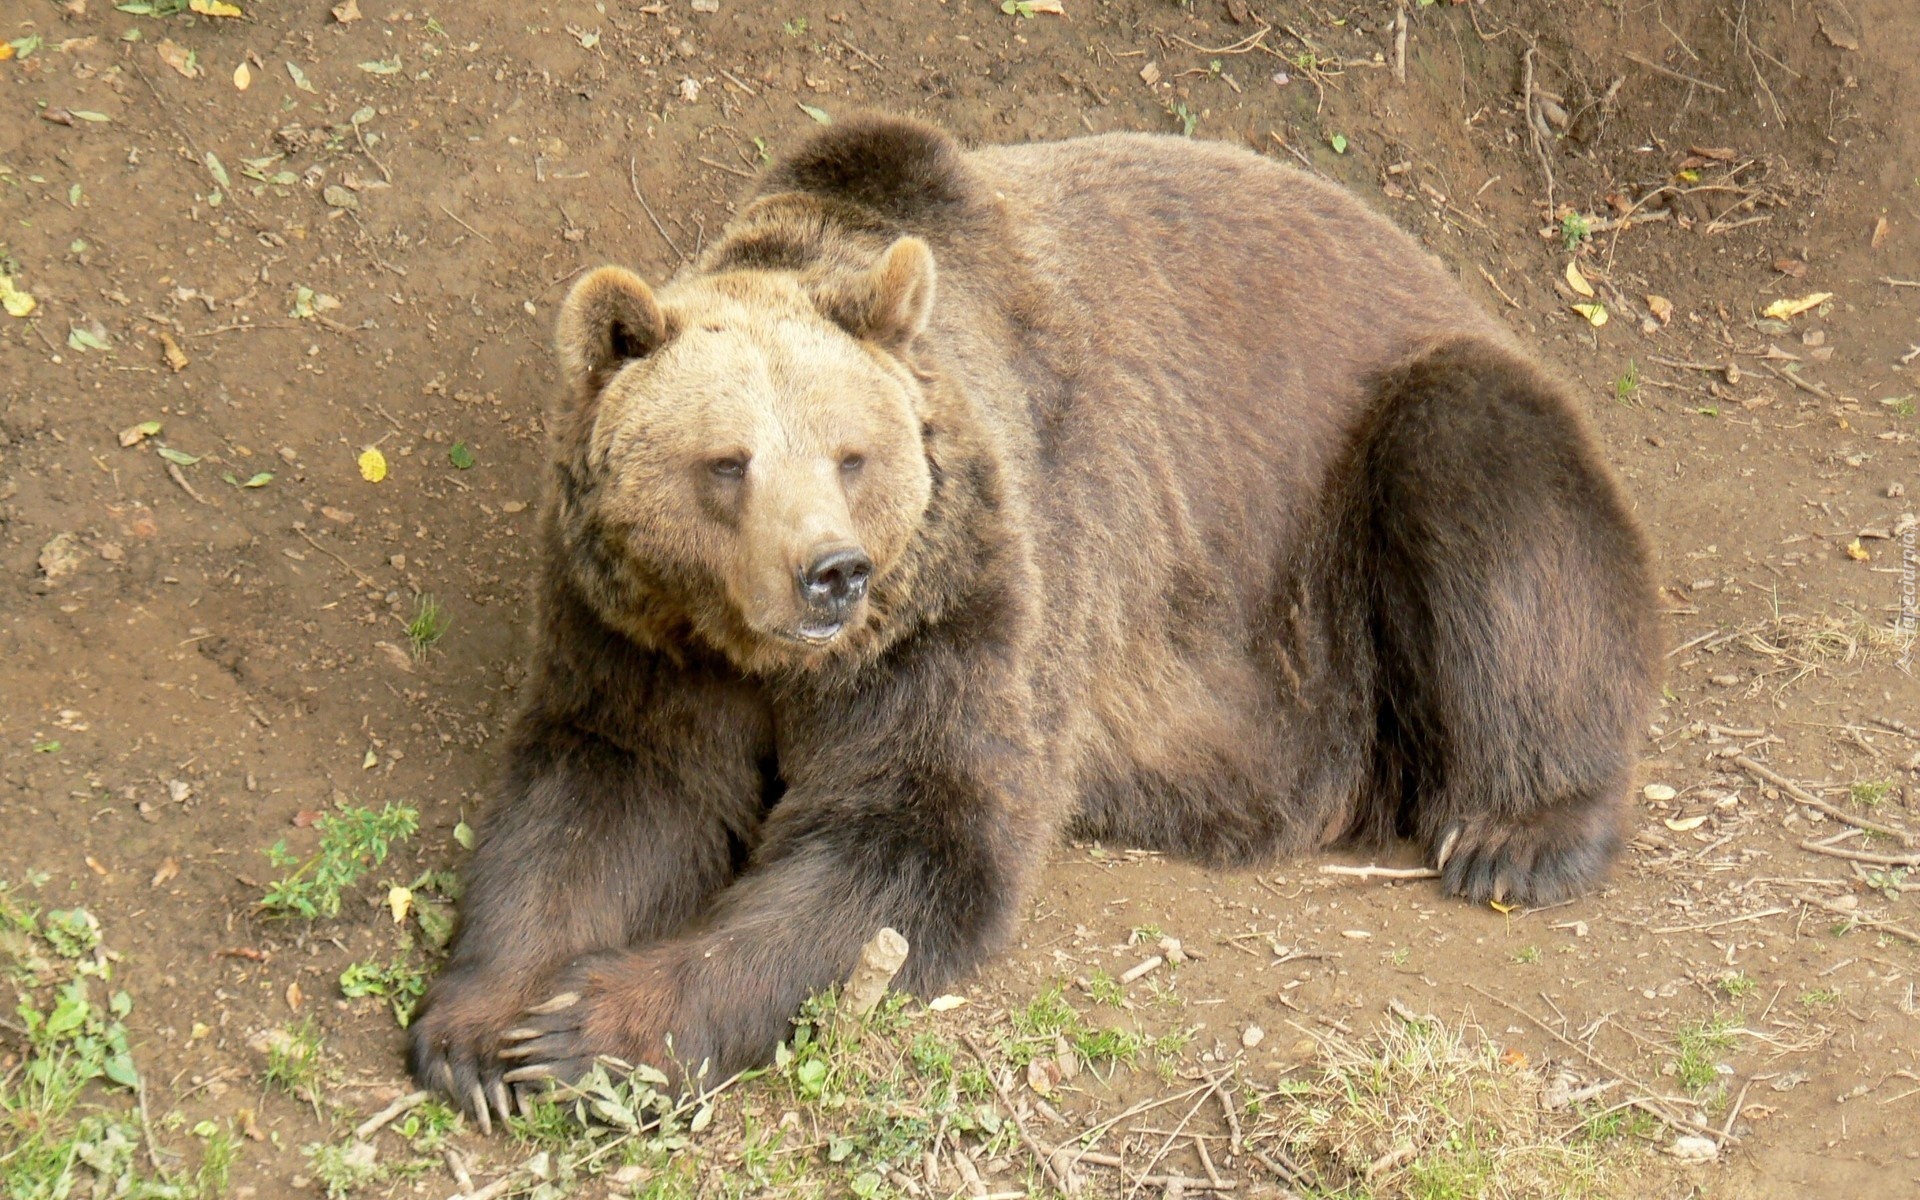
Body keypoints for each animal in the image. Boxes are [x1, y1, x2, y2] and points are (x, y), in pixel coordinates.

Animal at [412, 112, 1658, 1121]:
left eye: (851, 454)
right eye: (727, 462)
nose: (832, 573)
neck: (765, 658)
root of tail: (1451, 273)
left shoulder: (967, 602)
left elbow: (918, 836)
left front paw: (595, 1025)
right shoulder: (634, 633)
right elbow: (610, 793)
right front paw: (486, 1028)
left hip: (1356, 506)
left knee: (1481, 476)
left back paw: (1517, 833)